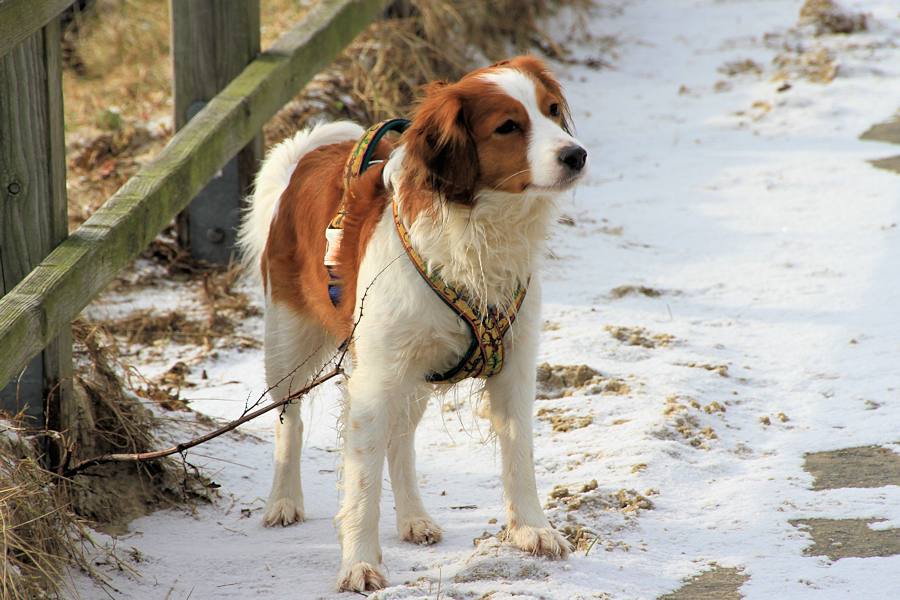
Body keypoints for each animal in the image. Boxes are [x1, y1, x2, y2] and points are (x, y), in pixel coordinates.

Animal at [239, 55, 588, 592]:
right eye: (508, 126)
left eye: (551, 110)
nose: (577, 155)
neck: (477, 234)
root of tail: (306, 162)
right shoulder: (373, 381)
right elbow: (361, 484)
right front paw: (359, 563)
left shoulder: (514, 365)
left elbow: (519, 457)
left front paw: (532, 530)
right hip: (289, 345)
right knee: (289, 422)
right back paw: (283, 500)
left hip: (419, 371)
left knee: (400, 440)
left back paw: (414, 518)